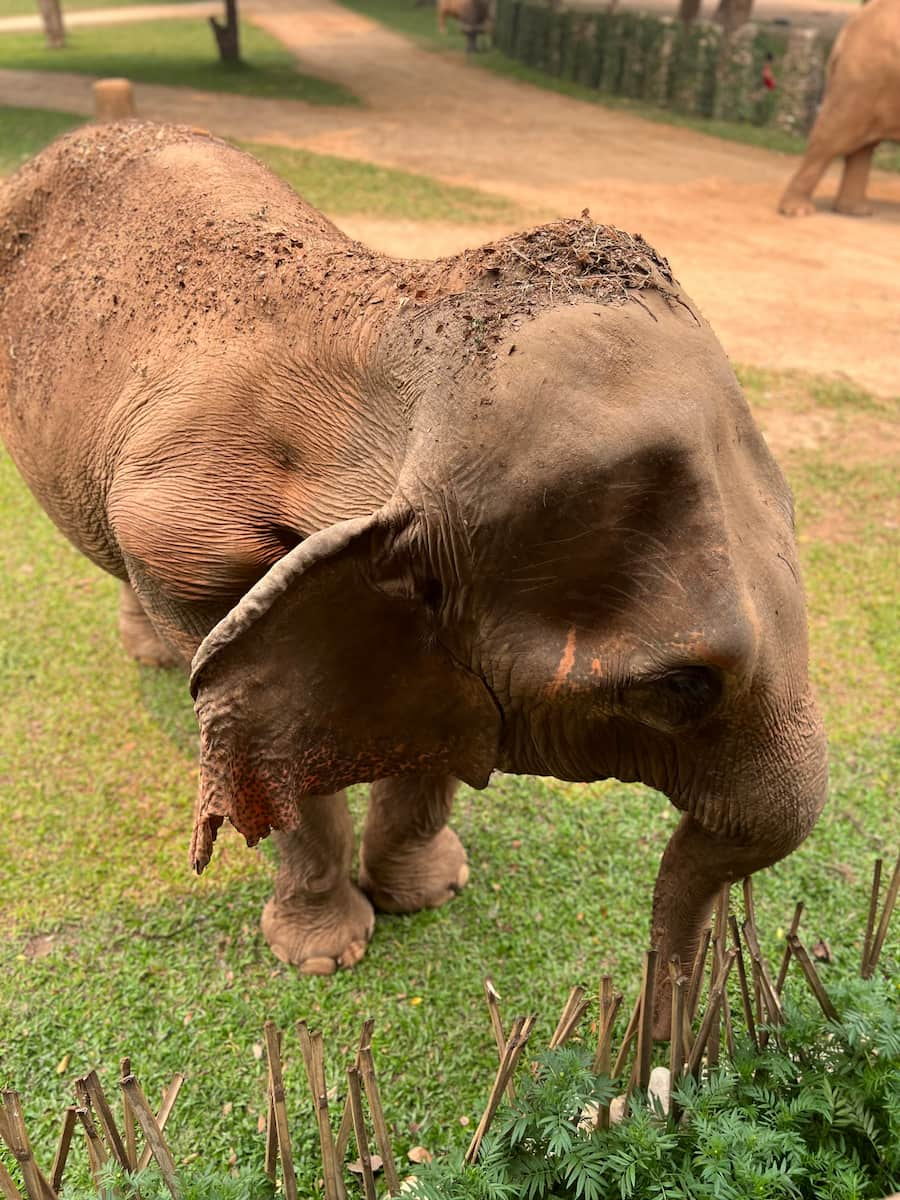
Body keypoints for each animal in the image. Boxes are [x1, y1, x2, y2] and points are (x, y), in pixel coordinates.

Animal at [1, 121, 830, 1027]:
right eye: (679, 687)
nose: (658, 1052)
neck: (397, 336)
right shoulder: (190, 548)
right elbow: (266, 748)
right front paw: (324, 957)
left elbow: (436, 725)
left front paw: (430, 895)